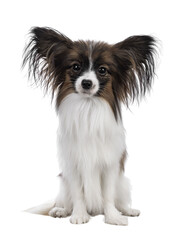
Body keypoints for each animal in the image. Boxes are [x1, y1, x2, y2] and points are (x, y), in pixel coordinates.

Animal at [22, 27, 156, 226]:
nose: (86, 83)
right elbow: (78, 194)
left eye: (102, 70)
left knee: (119, 199)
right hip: (64, 184)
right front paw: (79, 215)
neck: (88, 107)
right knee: (66, 201)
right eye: (76, 67)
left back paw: (127, 210)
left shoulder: (110, 165)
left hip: (123, 182)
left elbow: (108, 195)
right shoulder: (73, 165)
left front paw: (113, 217)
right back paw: (61, 210)